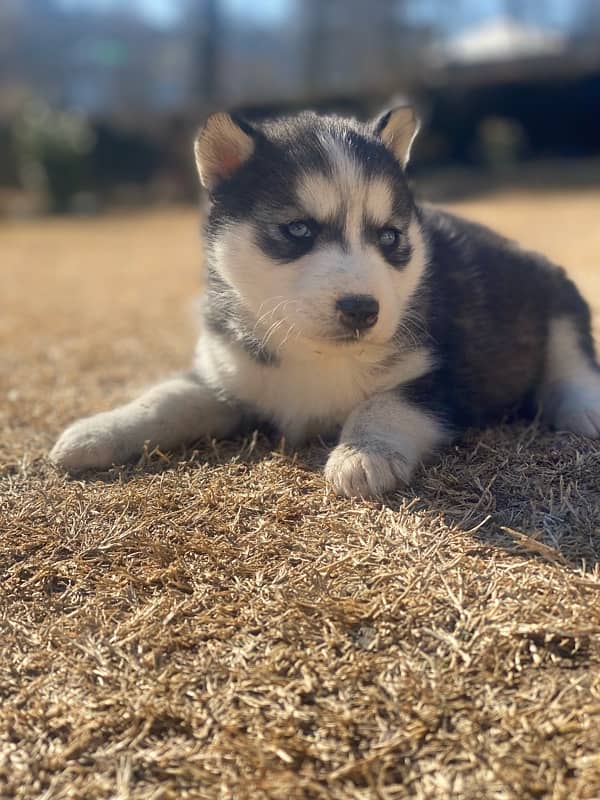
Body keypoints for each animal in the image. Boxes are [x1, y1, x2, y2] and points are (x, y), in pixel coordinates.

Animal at [51, 106, 600, 494]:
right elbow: (166, 398)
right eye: (298, 229)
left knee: (572, 361)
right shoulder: (225, 373)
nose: (362, 309)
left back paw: (583, 407)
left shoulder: (444, 378)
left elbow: (387, 402)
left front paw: (362, 454)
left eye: (390, 237)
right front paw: (97, 430)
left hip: (557, 292)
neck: (313, 355)